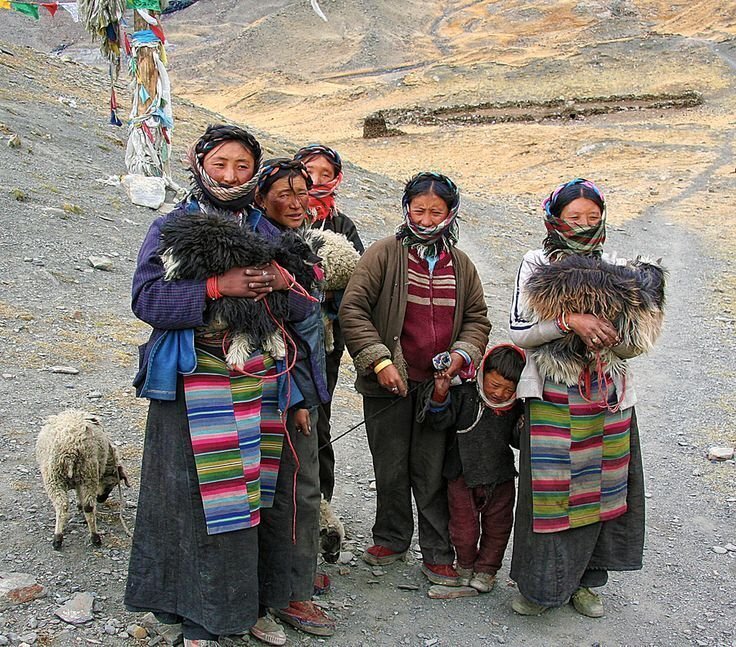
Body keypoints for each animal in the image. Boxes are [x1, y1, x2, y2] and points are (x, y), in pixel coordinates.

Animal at [36, 410, 130, 552]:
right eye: (112, 484)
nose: (101, 499)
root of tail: (69, 452)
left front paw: (79, 506)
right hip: (79, 476)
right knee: (80, 506)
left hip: (63, 478)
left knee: (66, 506)